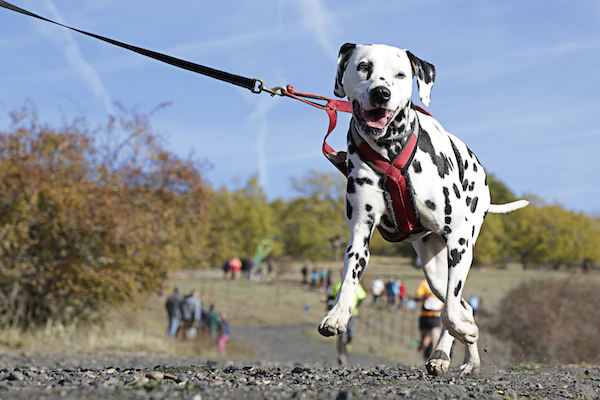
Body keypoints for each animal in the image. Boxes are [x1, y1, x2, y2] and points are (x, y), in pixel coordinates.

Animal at [316, 44, 528, 378]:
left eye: (401, 74)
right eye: (363, 67)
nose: (381, 93)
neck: (389, 150)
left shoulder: (458, 240)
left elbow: (450, 315)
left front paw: (463, 334)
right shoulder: (359, 235)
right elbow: (349, 278)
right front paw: (337, 315)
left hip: (457, 256)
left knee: (456, 307)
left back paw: (451, 353)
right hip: (434, 271)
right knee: (464, 305)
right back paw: (460, 357)